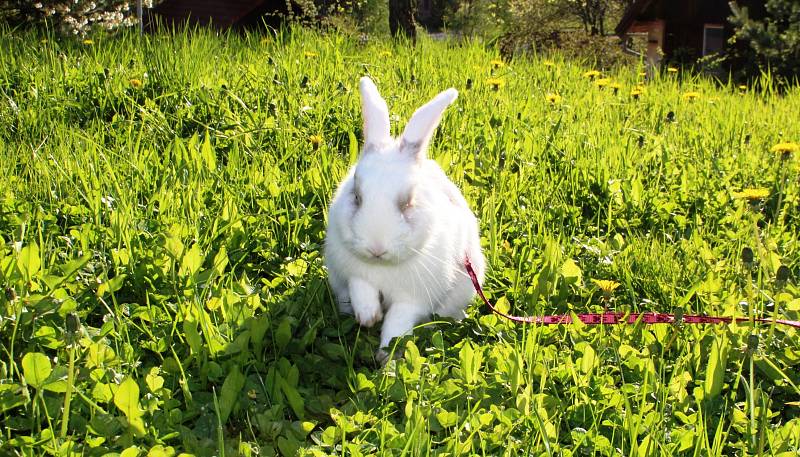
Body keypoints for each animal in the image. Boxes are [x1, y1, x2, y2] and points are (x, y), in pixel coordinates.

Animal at [322, 76, 484, 358]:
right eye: (357, 196)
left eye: (408, 202)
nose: (376, 248)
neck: (382, 266)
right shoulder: (351, 272)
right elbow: (360, 287)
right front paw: (368, 316)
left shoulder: (412, 300)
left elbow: (397, 326)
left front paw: (387, 359)